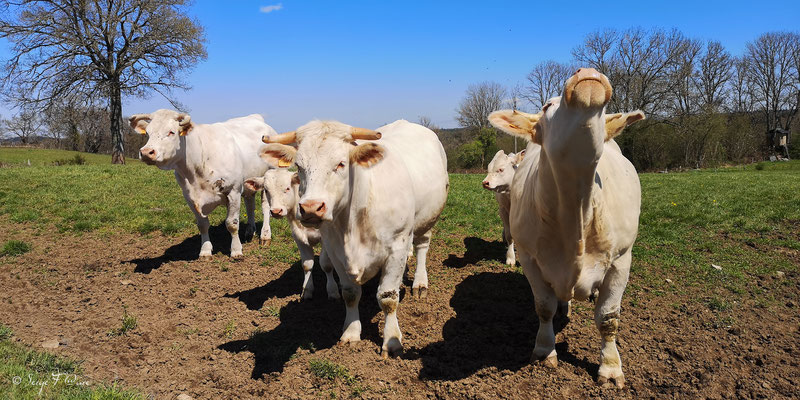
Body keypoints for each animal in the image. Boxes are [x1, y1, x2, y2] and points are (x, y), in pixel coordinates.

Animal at [129, 109, 278, 260]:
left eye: (171, 132)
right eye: (148, 133)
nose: (146, 152)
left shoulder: (233, 191)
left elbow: (232, 224)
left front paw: (236, 250)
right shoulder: (189, 197)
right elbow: (202, 225)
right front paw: (205, 251)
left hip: (268, 178)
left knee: (265, 207)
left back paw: (265, 235)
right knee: (250, 204)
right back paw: (249, 231)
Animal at [247, 166, 340, 300]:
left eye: (287, 188)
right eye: (266, 190)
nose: (276, 211)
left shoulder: (326, 238)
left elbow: (326, 264)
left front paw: (333, 291)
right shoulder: (298, 237)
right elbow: (307, 265)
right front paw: (307, 290)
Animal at [262, 119, 450, 356]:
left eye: (341, 164)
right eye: (300, 166)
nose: (311, 208)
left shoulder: (397, 246)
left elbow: (388, 297)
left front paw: (392, 340)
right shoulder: (335, 250)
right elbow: (350, 293)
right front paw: (351, 333)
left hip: (427, 219)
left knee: (422, 247)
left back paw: (420, 283)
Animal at [488, 68, 644, 388]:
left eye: (606, 111)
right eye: (547, 106)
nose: (587, 72)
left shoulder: (621, 259)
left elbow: (608, 317)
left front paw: (610, 367)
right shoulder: (530, 258)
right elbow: (543, 307)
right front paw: (545, 351)